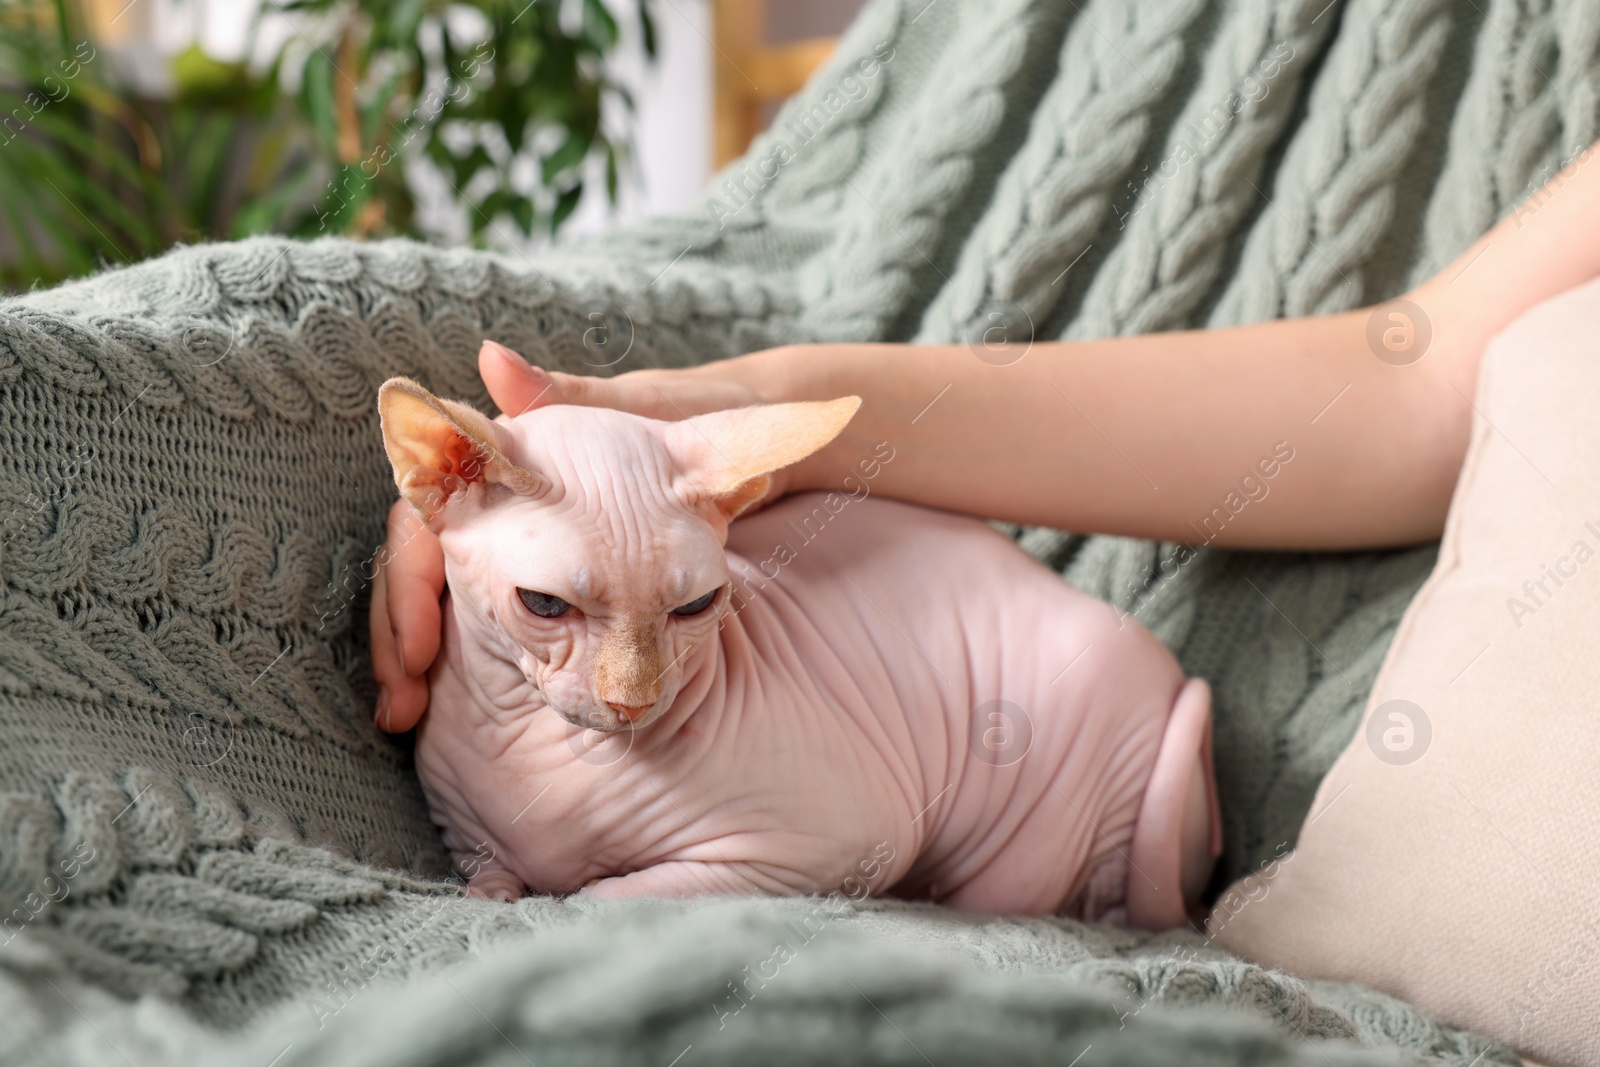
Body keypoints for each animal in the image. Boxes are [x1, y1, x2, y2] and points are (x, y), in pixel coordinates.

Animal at [377, 375, 1222, 927]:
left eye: (696, 605)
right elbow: (490, 880)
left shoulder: (836, 843)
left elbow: (604, 895)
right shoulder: (462, 831)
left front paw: (571, 893)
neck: (543, 754)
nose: (634, 701)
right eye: (545, 604)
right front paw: (500, 892)